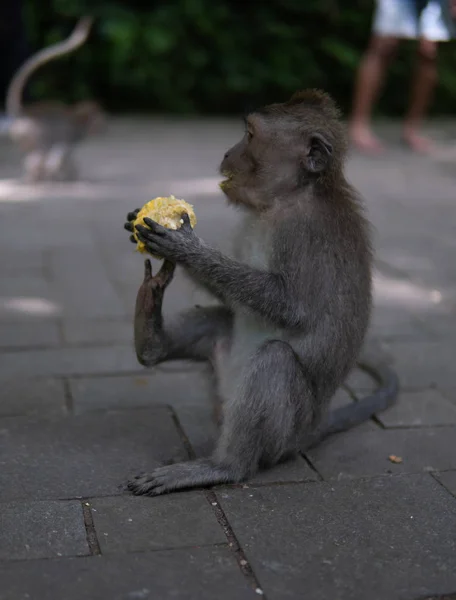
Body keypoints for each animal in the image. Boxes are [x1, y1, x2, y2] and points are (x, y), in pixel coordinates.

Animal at [4, 15, 104, 180]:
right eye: (101, 121)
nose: (105, 128)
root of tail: (22, 113)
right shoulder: (69, 135)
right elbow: (61, 152)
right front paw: (70, 174)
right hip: (32, 133)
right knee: (41, 152)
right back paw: (38, 175)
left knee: (37, 154)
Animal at [123, 86, 398, 494]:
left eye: (250, 135)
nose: (226, 153)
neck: (287, 198)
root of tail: (309, 431)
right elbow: (228, 298)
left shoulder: (303, 233)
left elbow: (291, 307)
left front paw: (185, 247)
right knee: (221, 320)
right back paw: (151, 335)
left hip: (284, 431)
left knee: (275, 359)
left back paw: (223, 466)